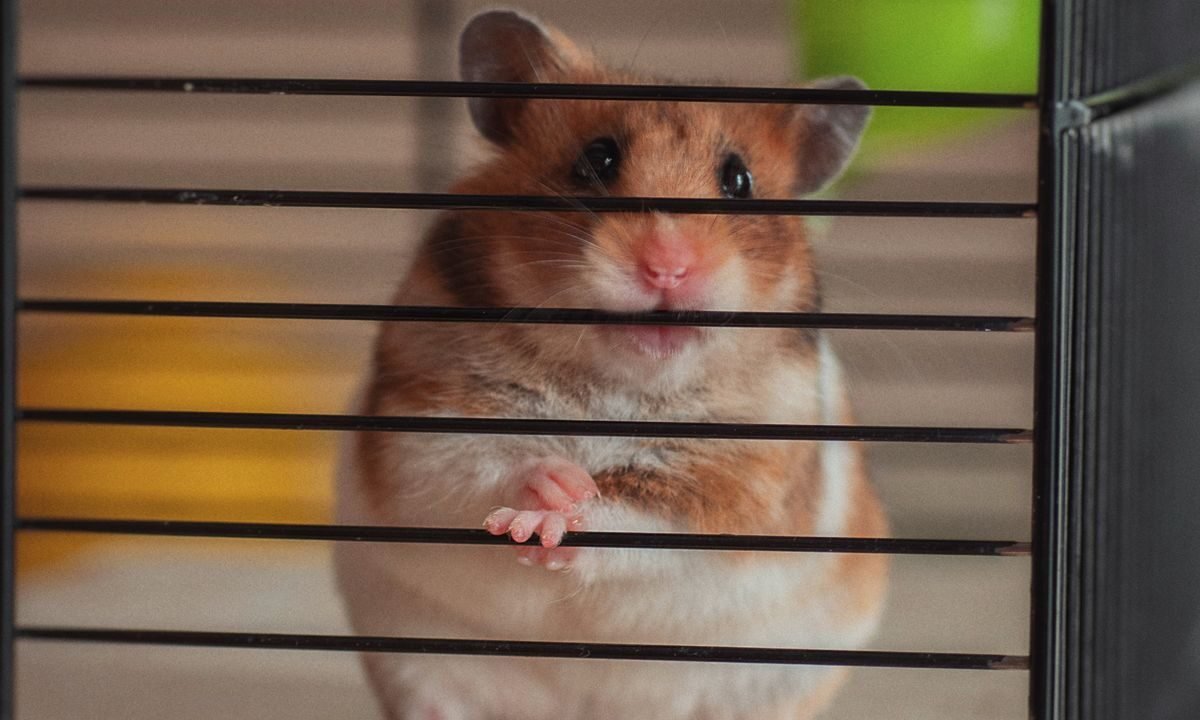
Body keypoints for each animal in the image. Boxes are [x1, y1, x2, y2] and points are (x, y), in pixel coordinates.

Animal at [334, 9, 888, 720]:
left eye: (739, 181)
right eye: (596, 159)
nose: (667, 267)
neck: (615, 384)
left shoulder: (740, 478)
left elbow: (635, 517)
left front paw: (557, 517)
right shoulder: (423, 417)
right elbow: (476, 466)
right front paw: (546, 492)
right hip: (423, 670)